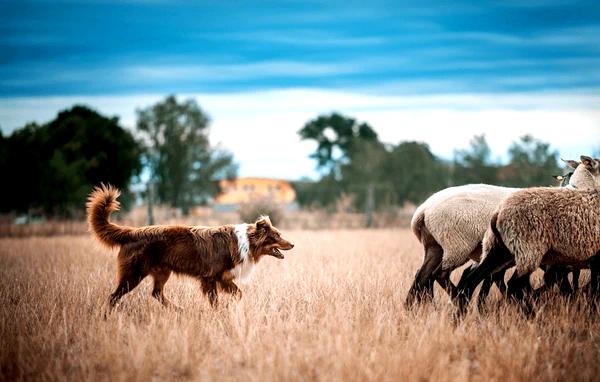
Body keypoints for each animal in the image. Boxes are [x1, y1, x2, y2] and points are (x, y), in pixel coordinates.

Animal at [87, 184, 296, 312]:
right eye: (277, 236)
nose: (293, 244)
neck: (246, 241)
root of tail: (131, 232)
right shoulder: (210, 278)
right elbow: (215, 300)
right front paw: (219, 314)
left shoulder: (224, 278)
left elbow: (239, 293)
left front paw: (232, 308)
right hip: (134, 274)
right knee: (114, 296)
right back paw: (107, 315)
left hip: (162, 271)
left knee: (156, 293)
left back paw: (178, 309)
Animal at [408, 159, 584, 308]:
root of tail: (423, 210)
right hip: (457, 245)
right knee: (440, 274)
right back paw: (459, 300)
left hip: (436, 246)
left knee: (422, 276)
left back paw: (413, 308)